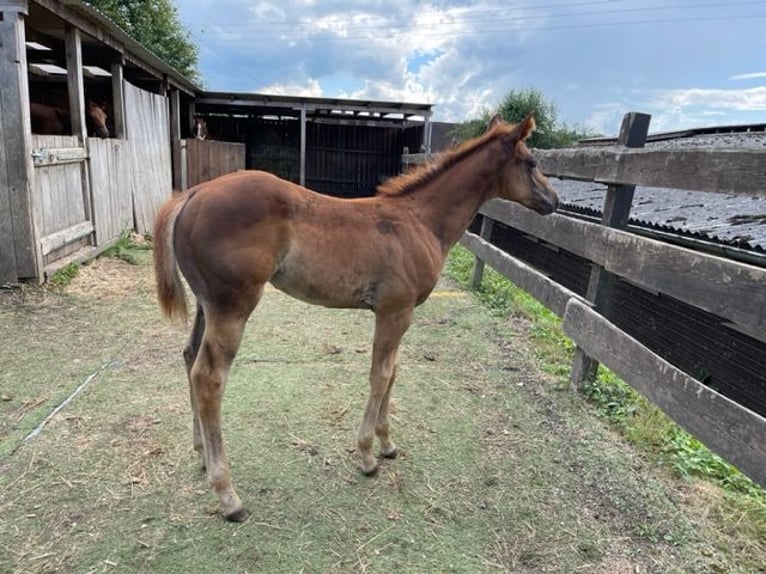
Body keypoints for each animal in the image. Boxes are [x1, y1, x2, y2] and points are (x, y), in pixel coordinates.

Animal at [154, 113, 560, 520]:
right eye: (531, 163)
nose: (554, 201)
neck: (420, 221)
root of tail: (193, 194)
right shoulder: (394, 312)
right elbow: (380, 376)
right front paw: (367, 456)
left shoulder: (401, 315)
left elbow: (393, 373)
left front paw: (388, 444)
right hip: (232, 308)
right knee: (208, 377)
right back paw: (228, 495)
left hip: (207, 305)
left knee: (189, 357)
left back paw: (201, 453)